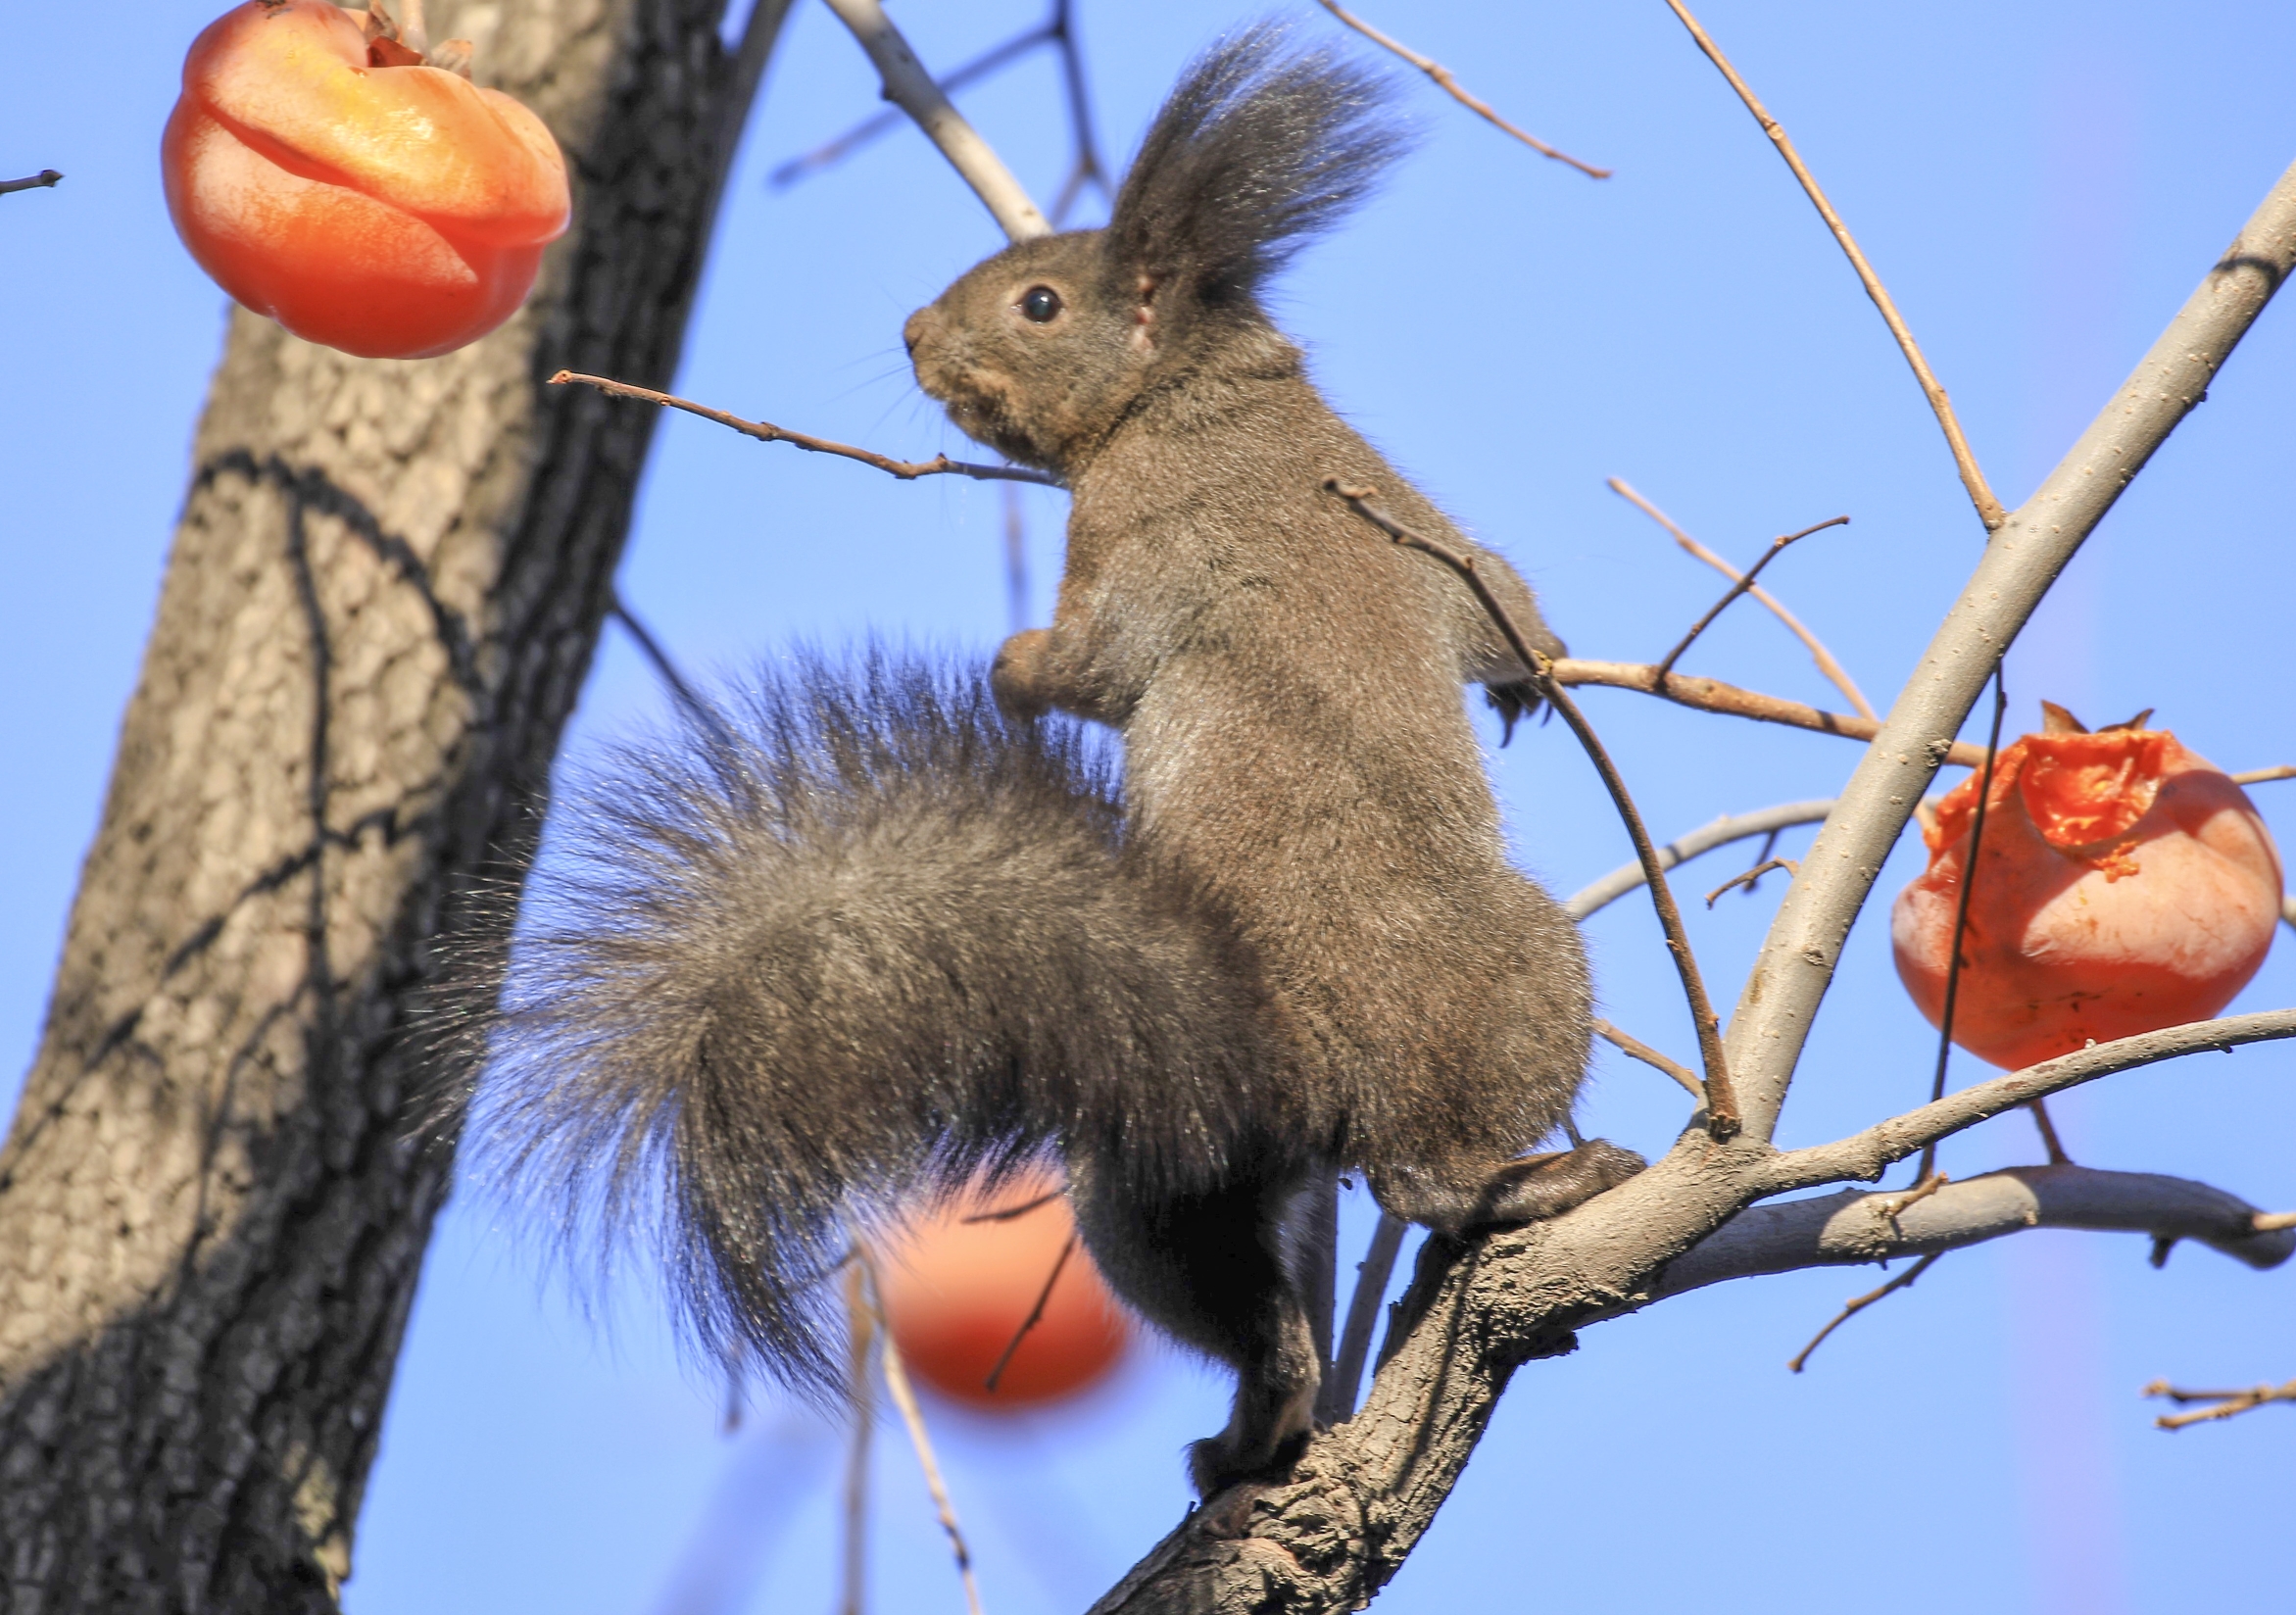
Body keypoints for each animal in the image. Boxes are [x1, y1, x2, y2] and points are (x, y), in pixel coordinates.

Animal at [475, 24, 1643, 1497]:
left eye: (1037, 304)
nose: (916, 335)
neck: (1203, 399)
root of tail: (1293, 1063)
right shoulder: (1405, 513)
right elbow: (1493, 595)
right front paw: (1534, 677)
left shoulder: (1134, 536)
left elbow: (1098, 662)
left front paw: (1012, 669)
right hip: (1170, 1183)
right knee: (1259, 1302)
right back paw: (1259, 1424)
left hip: (1415, 1033)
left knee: (1406, 1187)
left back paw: (1494, 1201)